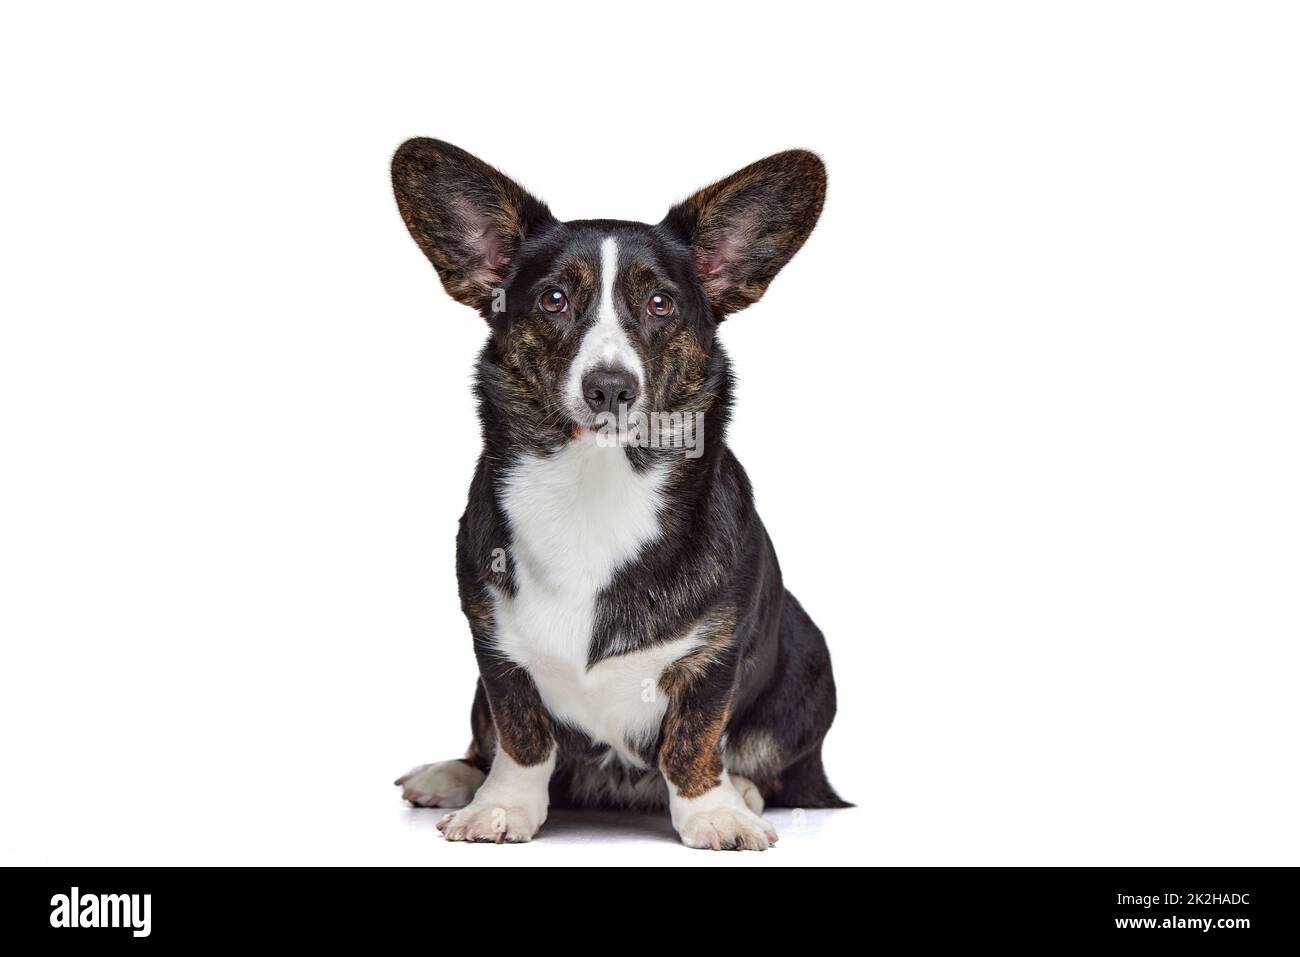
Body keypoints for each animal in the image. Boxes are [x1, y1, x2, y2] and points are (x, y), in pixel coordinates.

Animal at [390, 138, 847, 847]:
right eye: (553, 299)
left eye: (660, 304)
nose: (610, 387)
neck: (595, 486)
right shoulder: (495, 647)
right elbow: (520, 734)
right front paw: (504, 806)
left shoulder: (715, 656)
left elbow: (695, 737)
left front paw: (715, 814)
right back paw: (453, 777)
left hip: (809, 661)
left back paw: (744, 791)